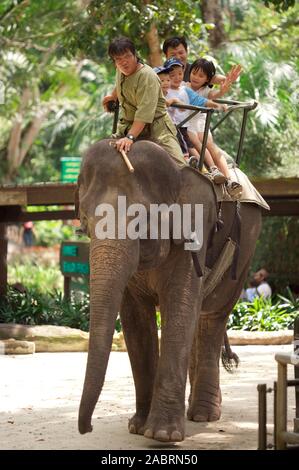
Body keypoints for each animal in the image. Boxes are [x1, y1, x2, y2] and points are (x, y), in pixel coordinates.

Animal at [77, 138, 262, 442]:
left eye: (140, 222)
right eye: (86, 221)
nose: (87, 428)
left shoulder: (195, 230)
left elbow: (179, 305)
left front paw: (163, 435)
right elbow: (135, 321)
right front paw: (138, 427)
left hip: (247, 245)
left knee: (212, 318)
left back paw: (203, 414)